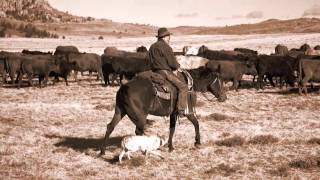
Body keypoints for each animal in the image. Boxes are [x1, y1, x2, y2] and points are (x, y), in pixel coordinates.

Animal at [100, 67, 228, 154]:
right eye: (220, 81)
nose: (224, 97)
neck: (189, 84)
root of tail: (124, 87)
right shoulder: (188, 112)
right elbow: (196, 123)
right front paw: (197, 142)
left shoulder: (173, 113)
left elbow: (172, 129)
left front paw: (170, 147)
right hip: (140, 116)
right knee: (138, 131)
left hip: (120, 111)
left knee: (110, 126)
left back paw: (103, 151)